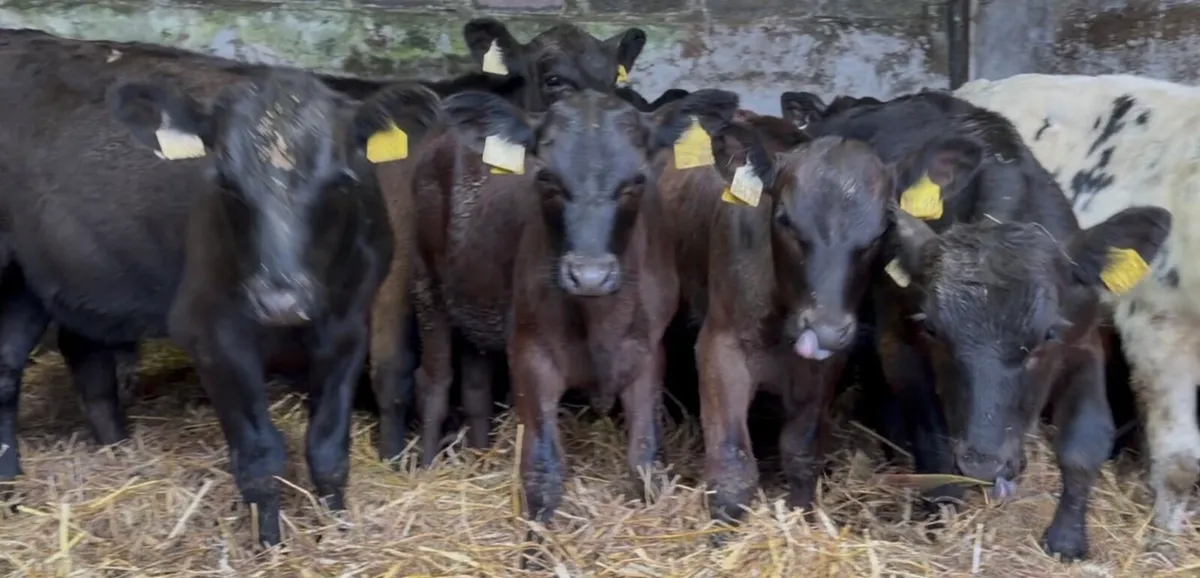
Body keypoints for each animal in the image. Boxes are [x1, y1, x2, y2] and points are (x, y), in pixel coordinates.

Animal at [804, 90, 1171, 560]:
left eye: (1047, 334)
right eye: (933, 329)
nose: (983, 462)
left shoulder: (1083, 339)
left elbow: (1085, 440)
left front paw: (1067, 537)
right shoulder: (897, 341)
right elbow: (930, 432)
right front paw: (941, 510)